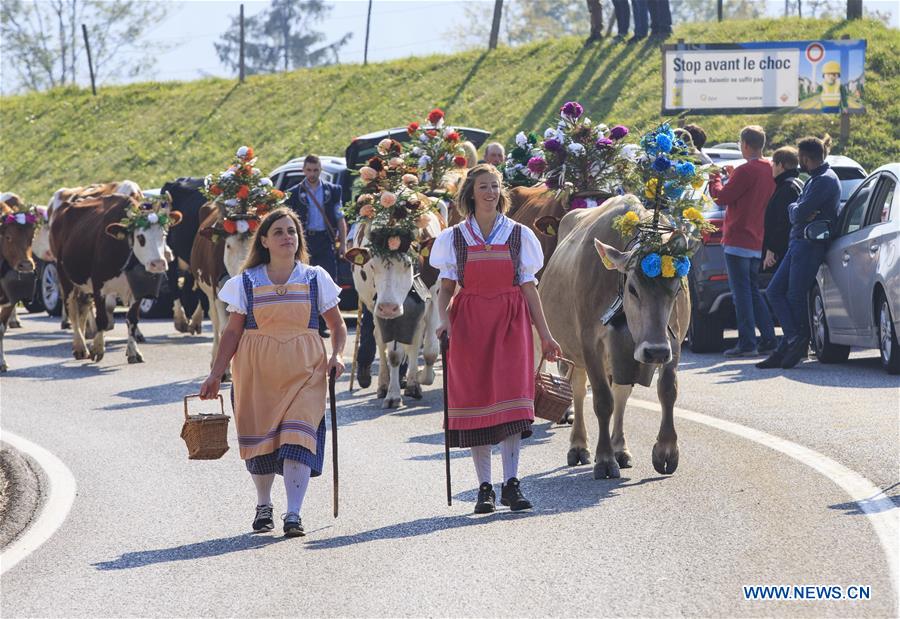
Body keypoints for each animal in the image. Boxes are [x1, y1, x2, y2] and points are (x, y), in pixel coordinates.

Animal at [51, 194, 182, 364]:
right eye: (140, 237)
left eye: (164, 235)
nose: (158, 264)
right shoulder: (99, 286)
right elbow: (101, 318)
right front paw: (98, 348)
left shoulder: (138, 290)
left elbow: (132, 319)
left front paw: (133, 351)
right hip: (65, 278)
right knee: (72, 310)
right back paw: (80, 347)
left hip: (85, 285)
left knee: (84, 306)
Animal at [536, 194, 692, 480]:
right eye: (632, 288)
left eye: (676, 289)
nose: (655, 352)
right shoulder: (590, 343)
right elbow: (602, 400)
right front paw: (605, 459)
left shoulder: (673, 342)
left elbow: (667, 390)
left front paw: (666, 451)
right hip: (574, 350)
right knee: (578, 389)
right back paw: (579, 446)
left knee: (621, 392)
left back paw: (621, 448)